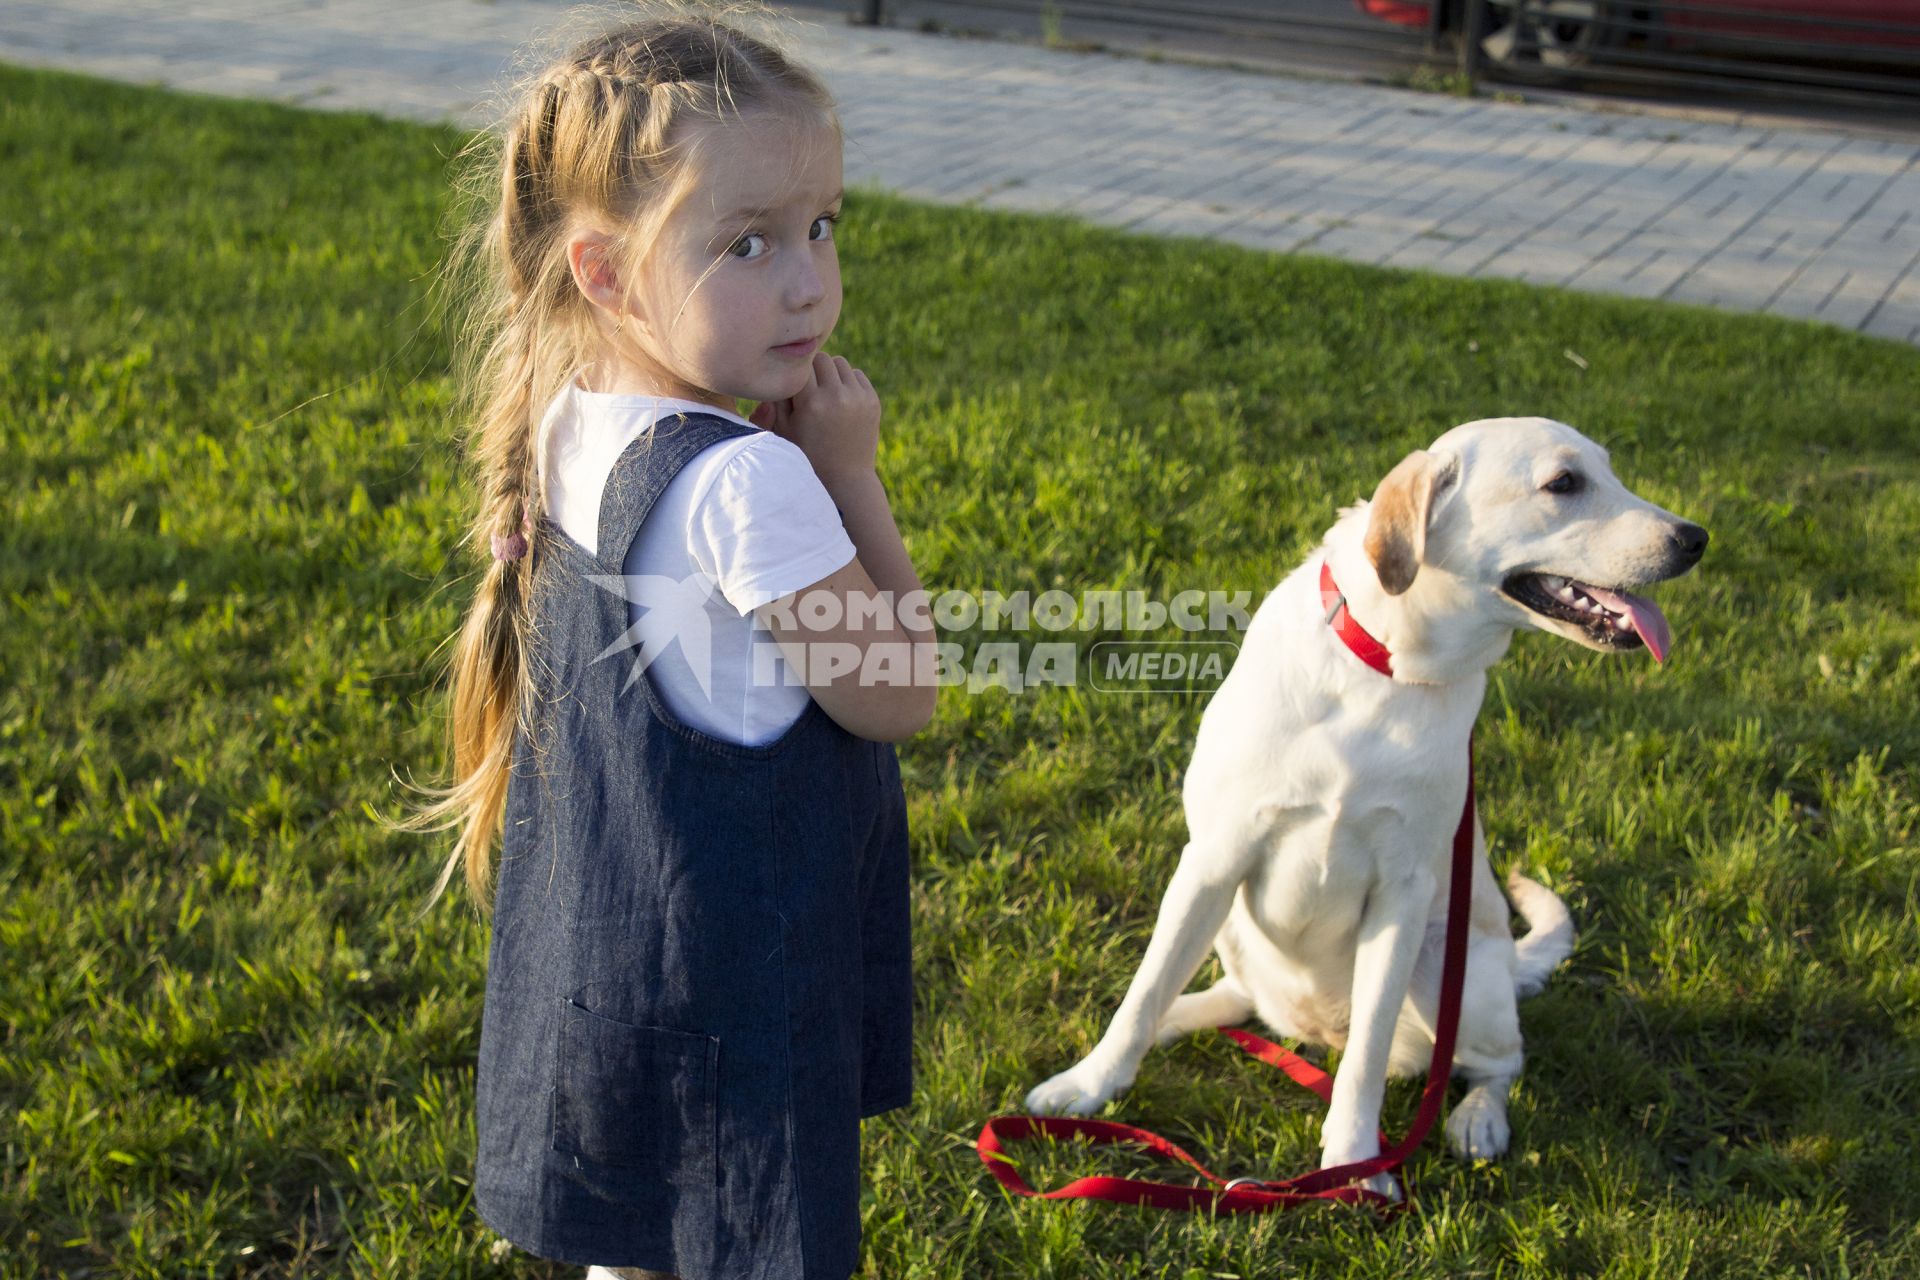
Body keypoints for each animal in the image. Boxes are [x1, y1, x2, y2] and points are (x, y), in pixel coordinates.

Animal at [1029, 418, 1704, 1189]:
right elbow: (1142, 993)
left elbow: (1368, 1058)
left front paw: (1353, 1162)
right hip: (1229, 920)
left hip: (1453, 971)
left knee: (1497, 1061)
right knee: (1222, 992)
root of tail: (1314, 1030)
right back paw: (1182, 1016)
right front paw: (1091, 1083)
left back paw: (1477, 1118)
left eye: (1610, 473)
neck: (1386, 667)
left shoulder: (1402, 895)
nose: (1695, 538)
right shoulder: (1214, 859)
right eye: (1564, 483)